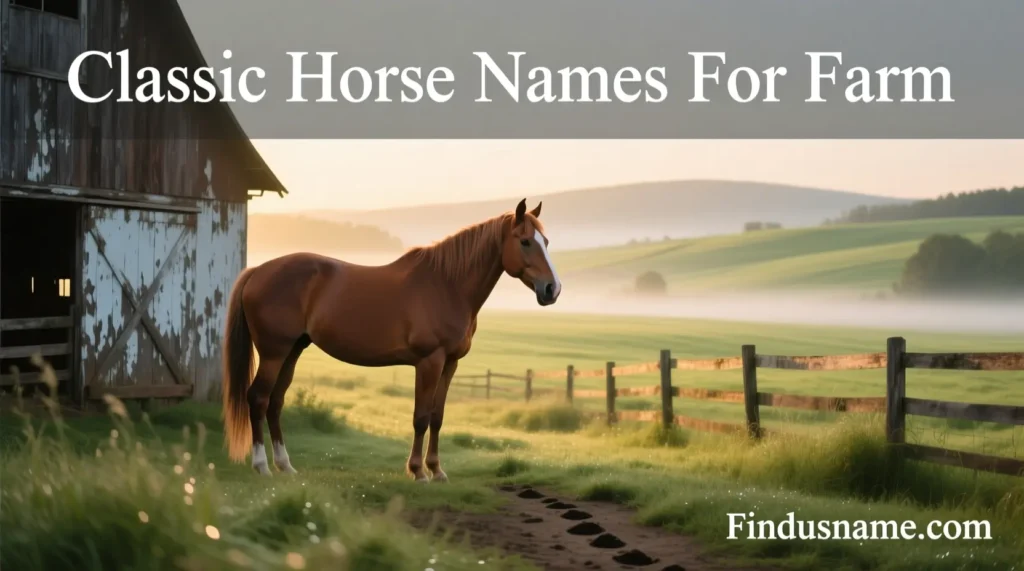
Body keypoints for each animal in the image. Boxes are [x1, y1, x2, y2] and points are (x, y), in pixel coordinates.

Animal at [221, 199, 561, 481]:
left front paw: (437, 470)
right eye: (525, 241)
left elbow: (437, 417)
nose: (552, 289)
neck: (447, 286)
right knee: (258, 398)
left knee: (275, 402)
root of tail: (258, 271)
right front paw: (418, 471)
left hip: (292, 350)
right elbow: (421, 417)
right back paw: (262, 466)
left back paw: (285, 465)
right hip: (273, 352)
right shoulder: (429, 361)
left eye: (545, 242)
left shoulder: (450, 363)